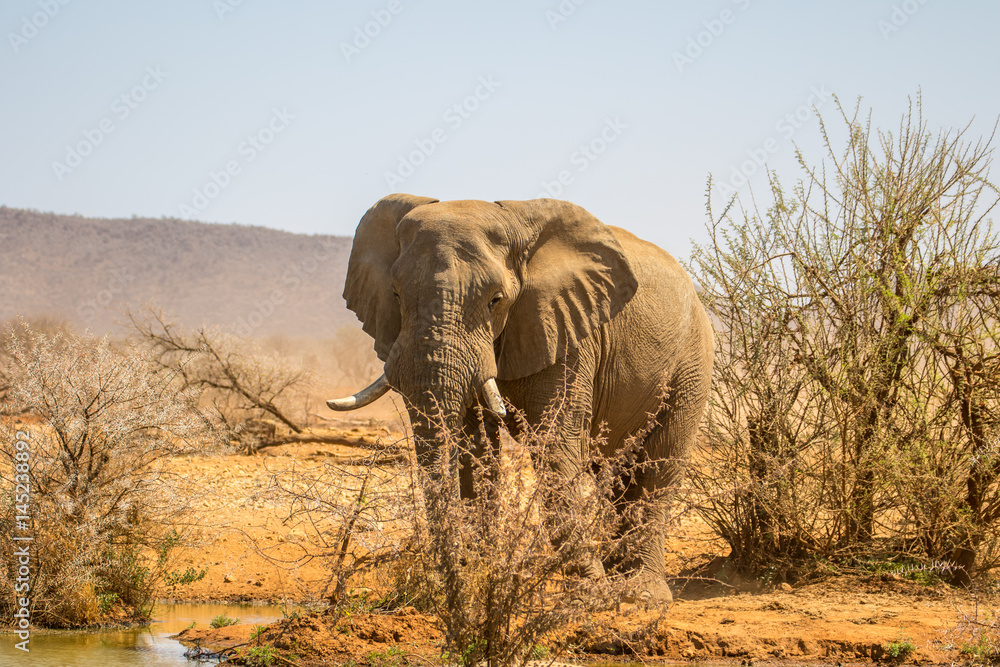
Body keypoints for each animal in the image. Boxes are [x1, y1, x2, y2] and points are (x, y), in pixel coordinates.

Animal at [327, 194, 713, 604]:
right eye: (396, 295)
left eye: (496, 300)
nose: (452, 575)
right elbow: (475, 447)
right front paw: (476, 574)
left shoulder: (567, 330)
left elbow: (555, 444)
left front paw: (589, 593)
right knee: (615, 473)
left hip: (691, 363)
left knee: (660, 465)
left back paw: (642, 593)